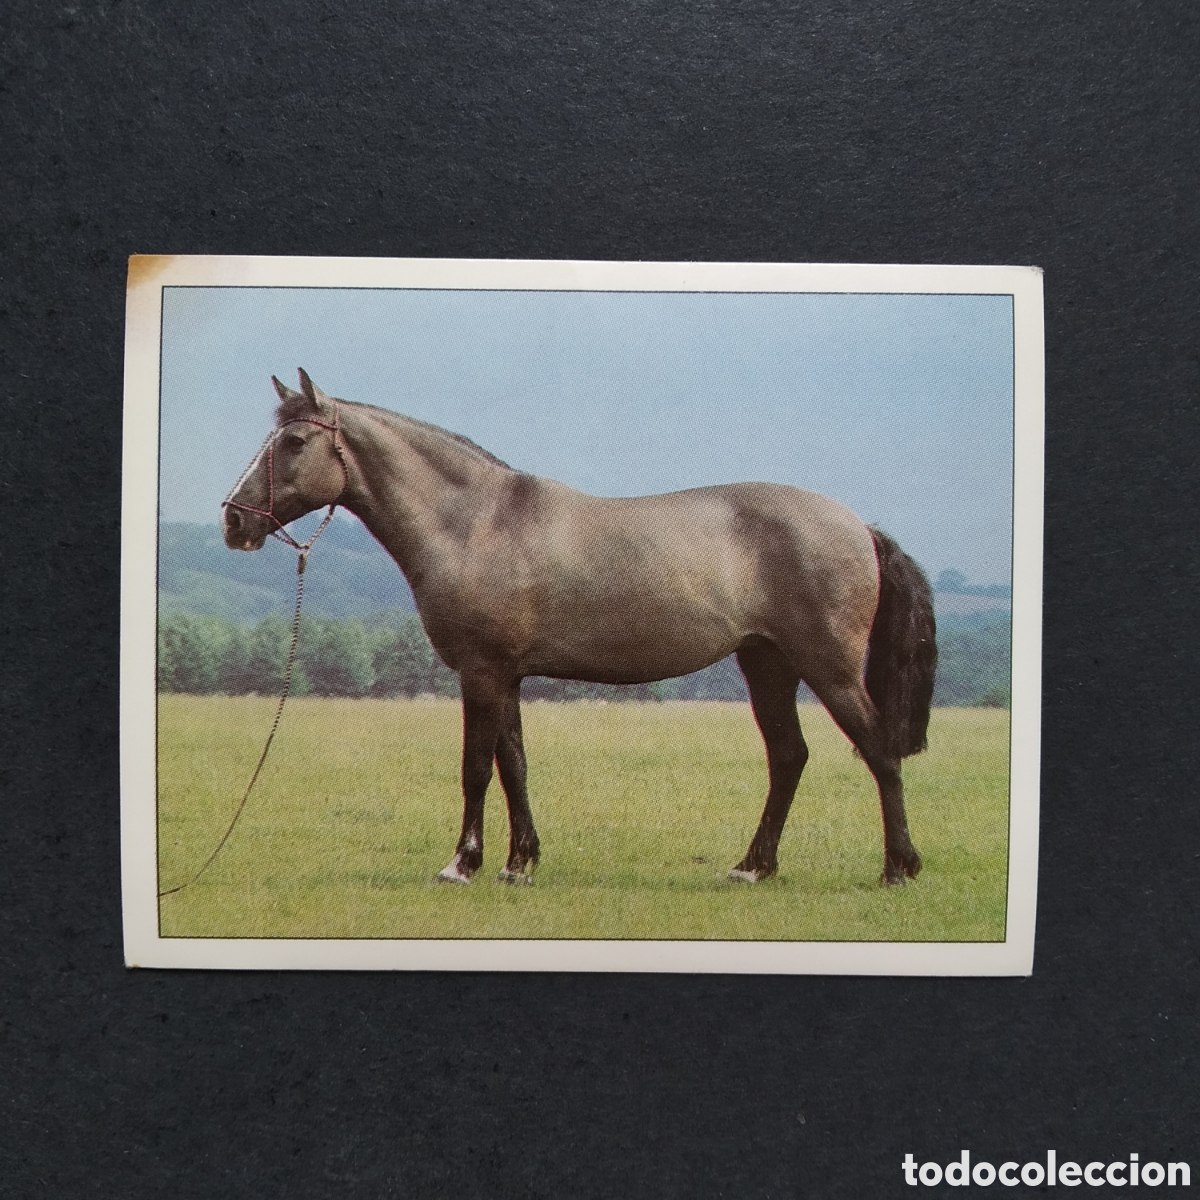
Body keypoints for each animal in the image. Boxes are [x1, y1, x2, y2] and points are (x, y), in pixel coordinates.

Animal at [222, 369, 937, 887]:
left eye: (294, 442)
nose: (233, 519)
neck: (476, 522)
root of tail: (859, 526)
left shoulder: (481, 671)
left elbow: (476, 767)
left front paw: (464, 863)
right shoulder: (507, 675)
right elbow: (514, 765)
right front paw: (520, 863)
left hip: (828, 667)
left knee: (879, 751)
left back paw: (897, 868)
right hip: (768, 663)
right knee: (789, 757)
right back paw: (753, 866)